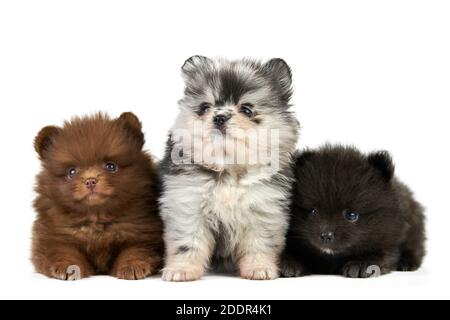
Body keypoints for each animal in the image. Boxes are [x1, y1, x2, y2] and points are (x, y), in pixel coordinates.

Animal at [33, 112, 163, 280]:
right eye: (71, 172)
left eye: (111, 166)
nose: (90, 180)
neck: (97, 218)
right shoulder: (54, 235)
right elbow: (63, 251)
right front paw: (68, 267)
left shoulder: (141, 231)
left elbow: (135, 250)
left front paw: (132, 266)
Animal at [159, 56, 298, 282]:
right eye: (205, 107)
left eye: (247, 109)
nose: (220, 117)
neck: (228, 169)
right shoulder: (188, 207)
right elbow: (187, 243)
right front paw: (182, 269)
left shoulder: (263, 210)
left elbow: (258, 244)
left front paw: (259, 268)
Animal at [282, 145, 426, 278]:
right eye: (313, 211)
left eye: (351, 215)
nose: (326, 235)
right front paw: (289, 262)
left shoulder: (389, 238)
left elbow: (381, 254)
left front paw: (362, 263)